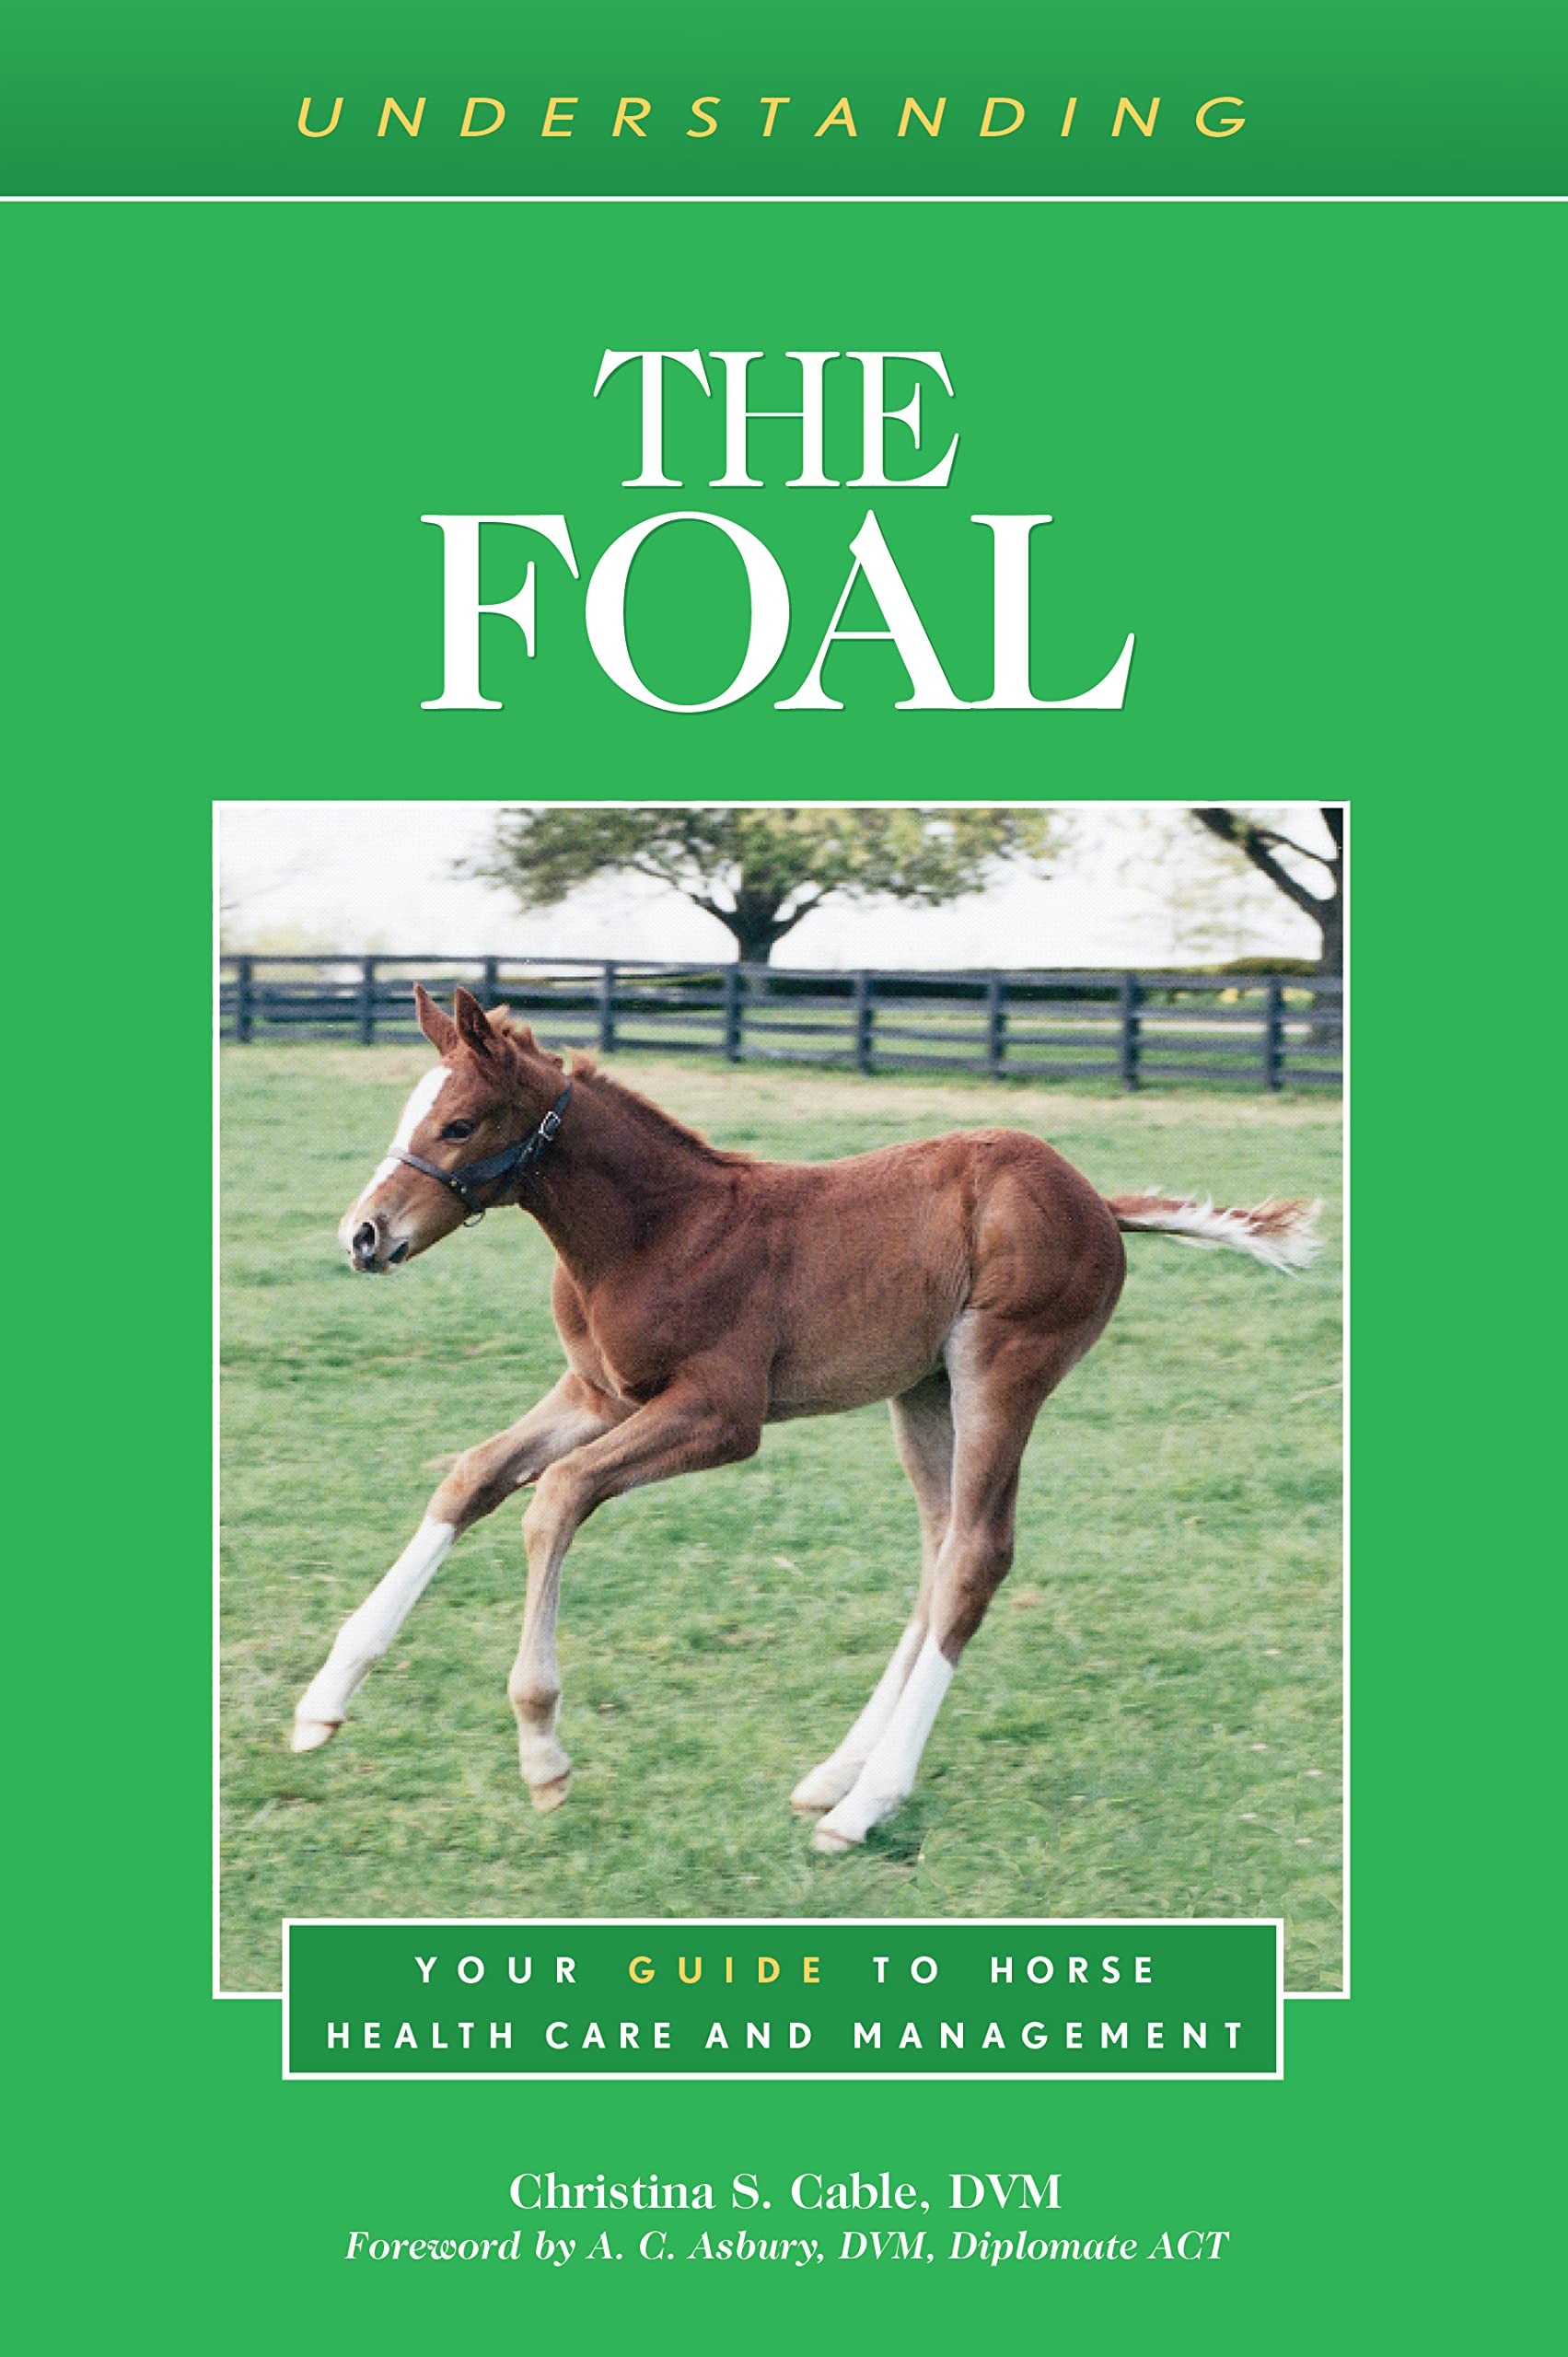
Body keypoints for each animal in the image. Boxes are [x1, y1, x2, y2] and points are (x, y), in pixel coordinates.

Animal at [290, 984, 1321, 1852]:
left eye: (458, 1123)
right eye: (409, 1117)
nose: (364, 1236)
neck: (653, 1231)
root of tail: (1095, 1200)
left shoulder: (719, 1414)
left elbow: (559, 1496)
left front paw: (543, 1754)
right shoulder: (596, 1393)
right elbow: (474, 1476)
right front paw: (321, 1702)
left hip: (1002, 1370)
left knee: (975, 1560)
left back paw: (864, 1806)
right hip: (924, 1391)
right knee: (940, 1549)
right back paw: (837, 1774)